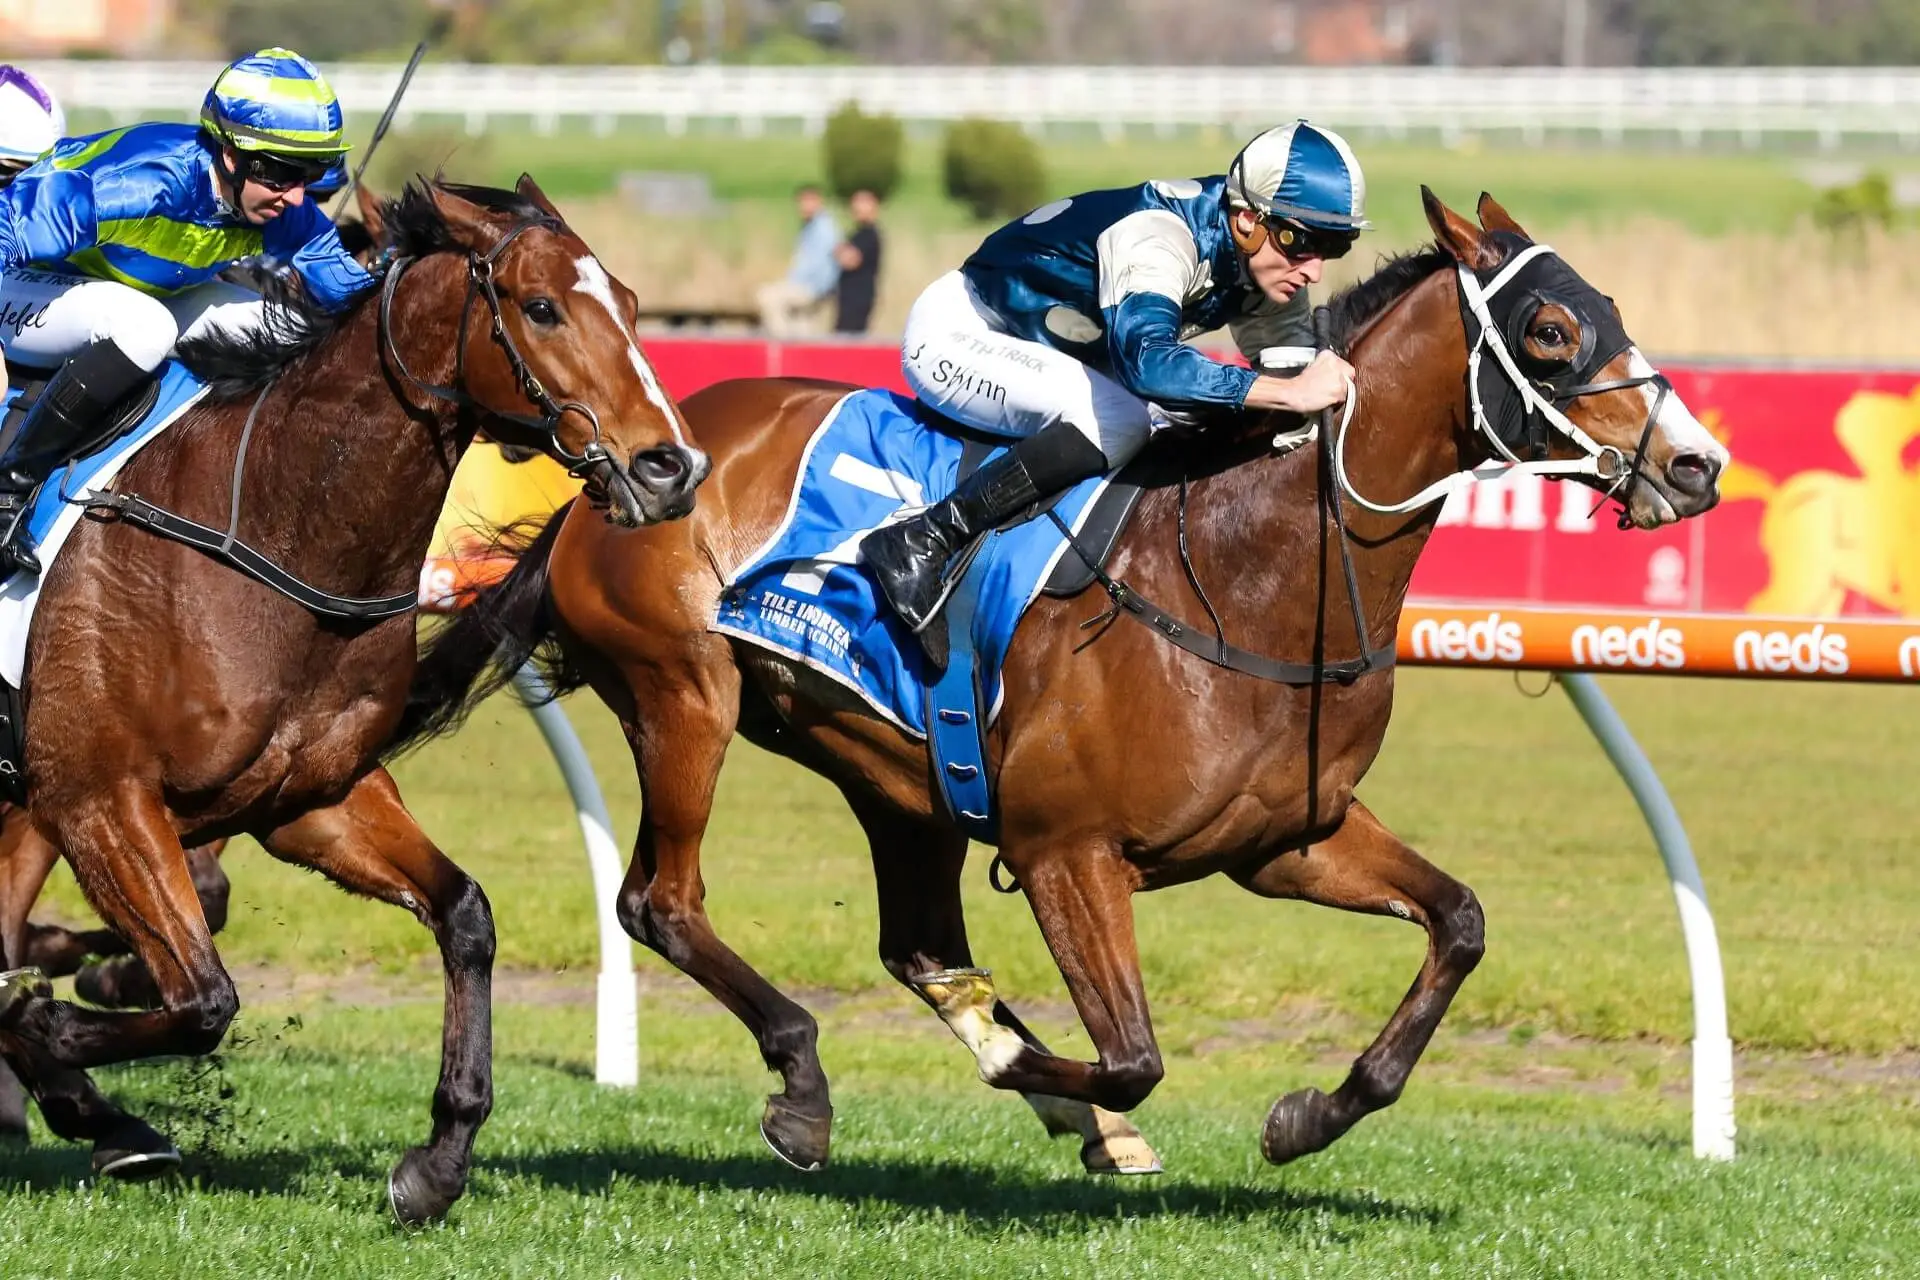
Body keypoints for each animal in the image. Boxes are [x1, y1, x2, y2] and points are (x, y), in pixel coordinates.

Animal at [0, 172, 706, 1220]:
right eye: (540, 307)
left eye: (624, 301)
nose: (671, 468)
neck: (271, 532)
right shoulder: (100, 797)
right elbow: (202, 999)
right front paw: (62, 1038)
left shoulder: (309, 799)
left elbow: (464, 915)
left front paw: (438, 1160)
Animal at [412, 189, 1735, 1182]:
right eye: (1551, 330)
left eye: (1609, 310)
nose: (1697, 464)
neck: (1247, 568)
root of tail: (630, 460)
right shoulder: (1067, 851)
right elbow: (1138, 1048)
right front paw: (1041, 1077)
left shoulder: (1287, 841)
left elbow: (1459, 920)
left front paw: (1307, 1113)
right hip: (685, 694)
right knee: (662, 899)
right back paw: (809, 1083)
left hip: (891, 767)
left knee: (918, 942)